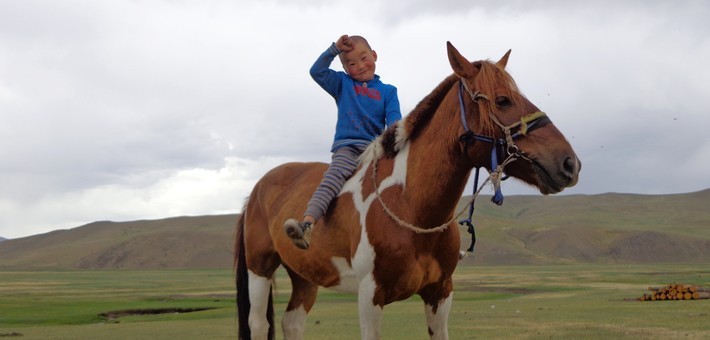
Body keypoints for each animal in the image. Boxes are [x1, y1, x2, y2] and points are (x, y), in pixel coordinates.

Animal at [236, 43, 580, 340]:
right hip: (260, 268)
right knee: (258, 324)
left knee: (291, 323)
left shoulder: (440, 293)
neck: (412, 207)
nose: (570, 164)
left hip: (305, 276)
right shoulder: (369, 296)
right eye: (503, 100)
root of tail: (259, 188)